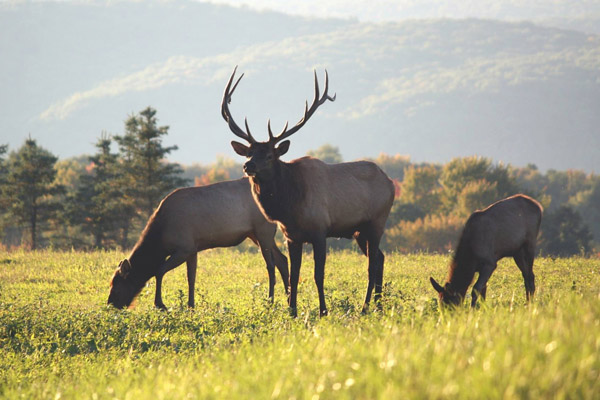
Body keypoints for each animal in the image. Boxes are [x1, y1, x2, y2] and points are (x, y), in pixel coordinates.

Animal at [108, 179, 290, 310]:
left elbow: (158, 271)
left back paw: (270, 301)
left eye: (116, 287)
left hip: (263, 230)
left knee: (271, 265)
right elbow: (191, 277)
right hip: (256, 234)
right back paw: (289, 299)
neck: (161, 238)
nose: (110, 305)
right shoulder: (193, 249)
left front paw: (160, 304)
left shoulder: (184, 248)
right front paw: (191, 305)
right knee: (282, 259)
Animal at [223, 67, 396, 318]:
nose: (248, 166)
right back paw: (379, 305)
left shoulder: (319, 231)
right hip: (359, 230)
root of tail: (391, 182)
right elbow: (294, 276)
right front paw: (292, 311)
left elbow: (317, 275)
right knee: (380, 258)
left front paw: (323, 311)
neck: (290, 207)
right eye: (249, 153)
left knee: (372, 264)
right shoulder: (291, 236)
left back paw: (365, 308)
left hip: (377, 221)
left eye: (270, 155)